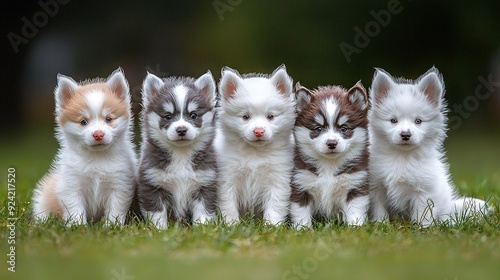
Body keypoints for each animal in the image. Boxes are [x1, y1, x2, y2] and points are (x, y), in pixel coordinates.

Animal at [292, 82, 370, 226]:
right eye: (318, 129)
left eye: (344, 128)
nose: (332, 143)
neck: (329, 164)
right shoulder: (301, 183)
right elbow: (301, 213)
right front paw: (303, 228)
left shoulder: (355, 185)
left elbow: (355, 211)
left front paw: (356, 227)